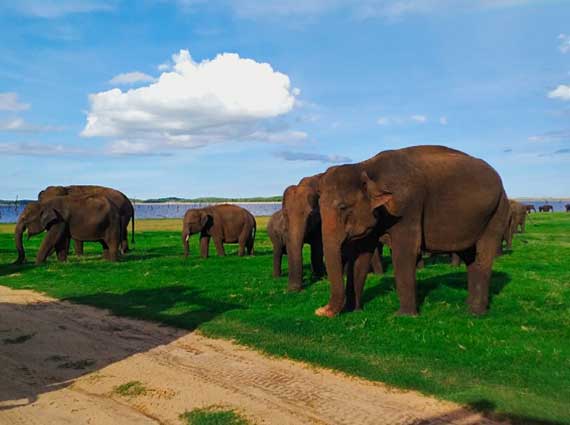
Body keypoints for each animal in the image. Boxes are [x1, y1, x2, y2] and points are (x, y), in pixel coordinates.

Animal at [312, 144, 508, 316]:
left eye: (343, 207)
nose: (320, 311)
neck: (365, 165)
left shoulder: (406, 206)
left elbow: (405, 252)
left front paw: (403, 316)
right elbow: (362, 255)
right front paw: (353, 311)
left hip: (497, 212)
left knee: (483, 254)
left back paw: (475, 313)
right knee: (470, 256)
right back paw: (469, 306)